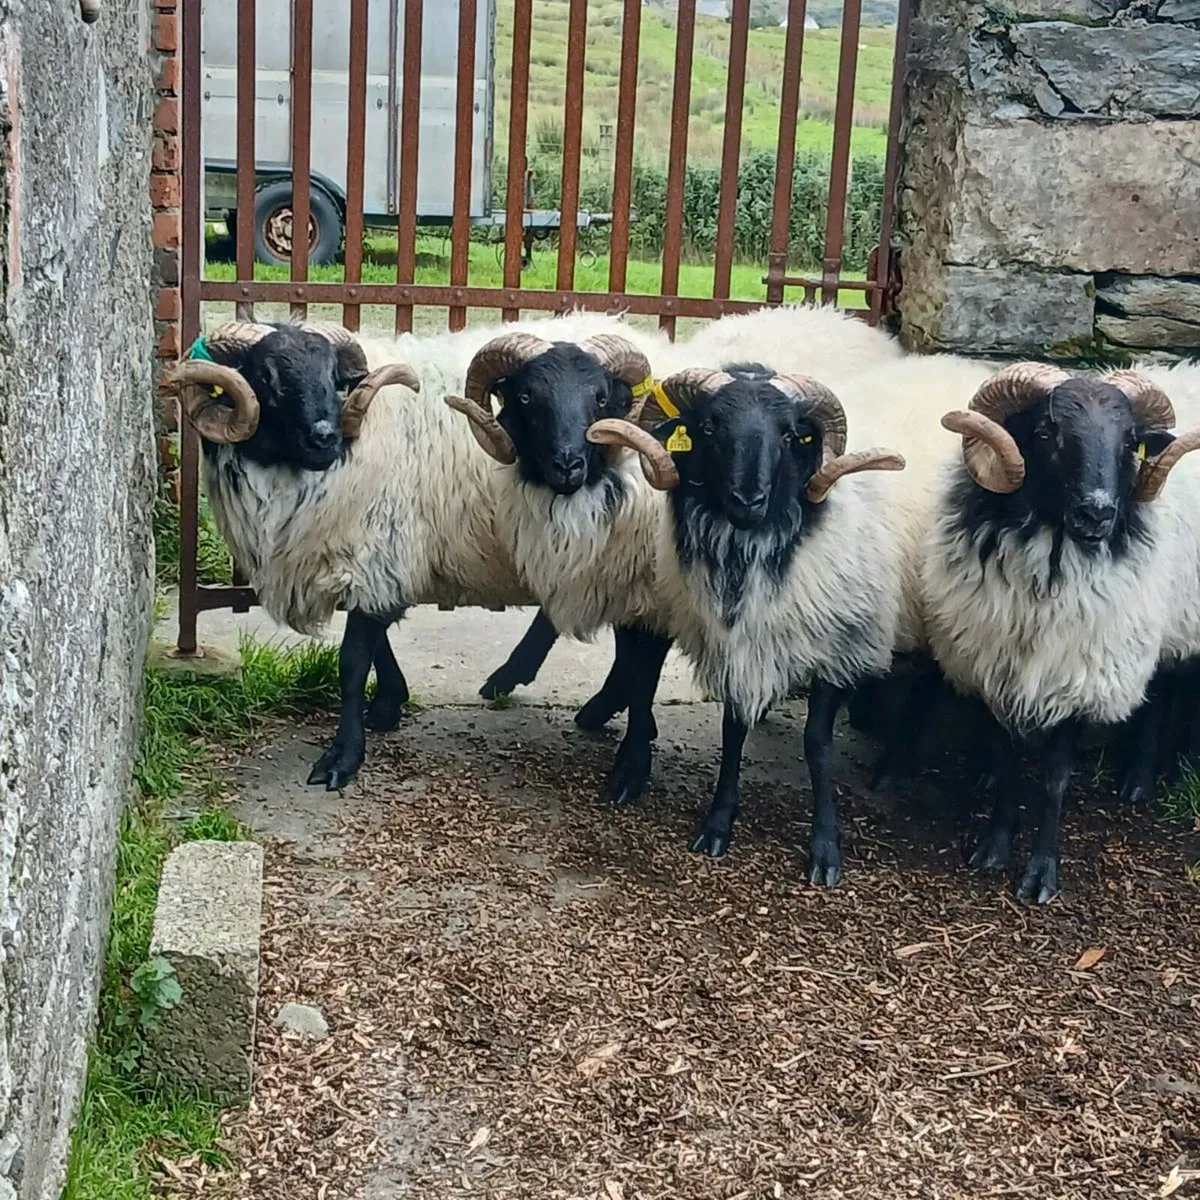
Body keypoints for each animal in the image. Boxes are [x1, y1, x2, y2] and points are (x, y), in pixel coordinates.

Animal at [170, 312, 673, 790]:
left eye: (334, 375)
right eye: (266, 376)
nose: (325, 437)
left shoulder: (379, 551)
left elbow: (353, 661)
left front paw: (343, 757)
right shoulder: (376, 558)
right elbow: (377, 644)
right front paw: (388, 704)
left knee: (642, 641)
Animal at [583, 366, 904, 882]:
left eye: (790, 435)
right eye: (710, 427)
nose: (748, 499)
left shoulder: (841, 645)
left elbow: (818, 744)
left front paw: (825, 848)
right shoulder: (738, 644)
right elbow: (732, 733)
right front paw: (718, 824)